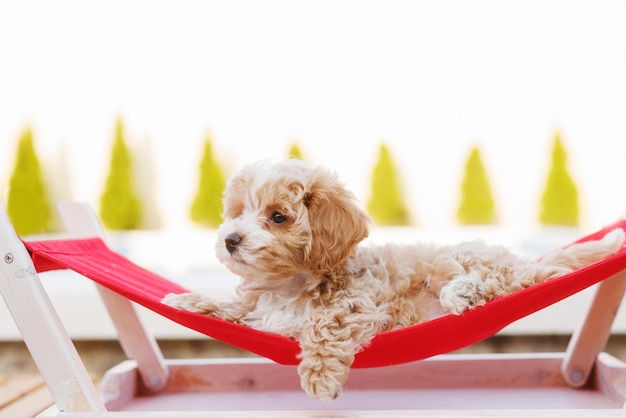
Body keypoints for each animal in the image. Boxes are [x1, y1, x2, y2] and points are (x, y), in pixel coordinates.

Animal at [162, 160, 624, 402]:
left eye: (278, 217)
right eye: (237, 213)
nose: (231, 240)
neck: (289, 283)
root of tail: (524, 256)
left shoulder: (354, 303)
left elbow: (324, 327)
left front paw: (319, 377)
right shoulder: (260, 313)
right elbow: (235, 307)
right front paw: (187, 301)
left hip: (461, 260)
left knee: (511, 279)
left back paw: (465, 291)